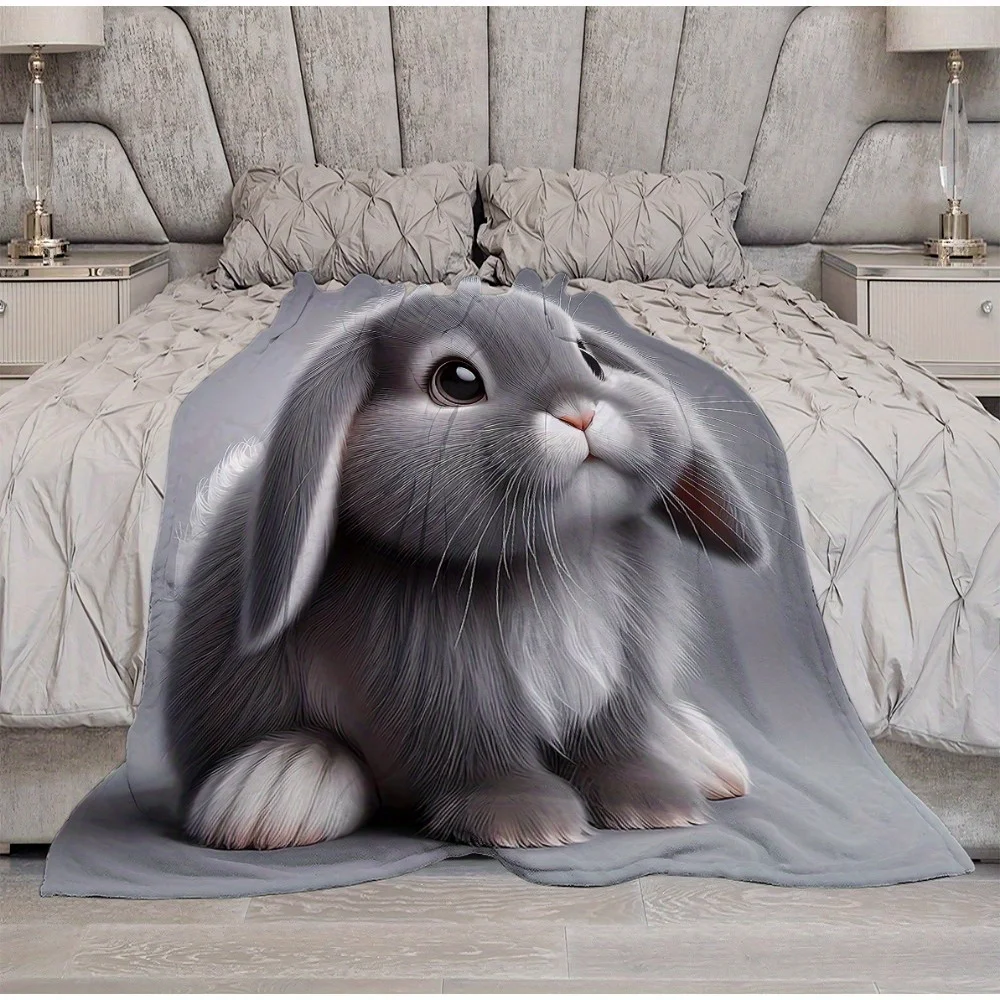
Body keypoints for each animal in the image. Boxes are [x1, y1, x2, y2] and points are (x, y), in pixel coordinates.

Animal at [164, 278, 766, 851]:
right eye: (457, 381)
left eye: (590, 361)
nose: (581, 412)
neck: (552, 555)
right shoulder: (442, 701)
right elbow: (478, 760)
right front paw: (526, 822)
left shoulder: (618, 681)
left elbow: (613, 746)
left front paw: (656, 805)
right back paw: (276, 785)